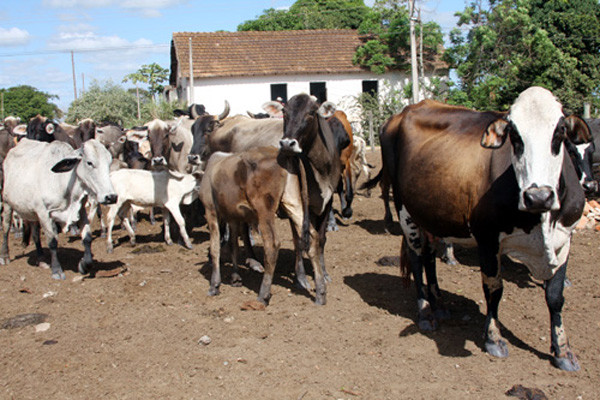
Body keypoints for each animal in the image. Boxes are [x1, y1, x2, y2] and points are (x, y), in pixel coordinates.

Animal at [384, 86, 592, 372]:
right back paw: (426, 312)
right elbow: (494, 289)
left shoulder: (565, 240)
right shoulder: (488, 238)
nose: (538, 196)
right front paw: (493, 338)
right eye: (514, 135)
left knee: (429, 258)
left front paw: (563, 351)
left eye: (560, 132)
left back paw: (440, 305)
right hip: (406, 212)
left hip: (432, 215)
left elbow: (555, 296)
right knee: (417, 259)